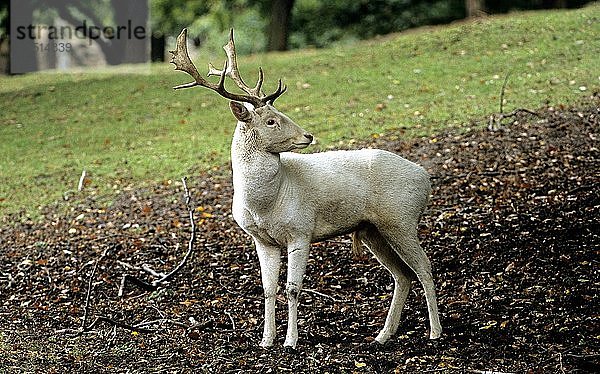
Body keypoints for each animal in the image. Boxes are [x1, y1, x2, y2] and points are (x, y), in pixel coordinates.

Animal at [169, 27, 440, 350]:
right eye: (271, 120)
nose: (308, 135)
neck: (266, 204)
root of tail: (425, 177)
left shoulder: (301, 230)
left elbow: (292, 288)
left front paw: (291, 341)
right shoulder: (262, 240)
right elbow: (268, 288)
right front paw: (266, 340)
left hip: (401, 220)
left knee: (424, 267)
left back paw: (435, 332)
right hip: (373, 229)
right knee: (402, 275)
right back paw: (383, 335)